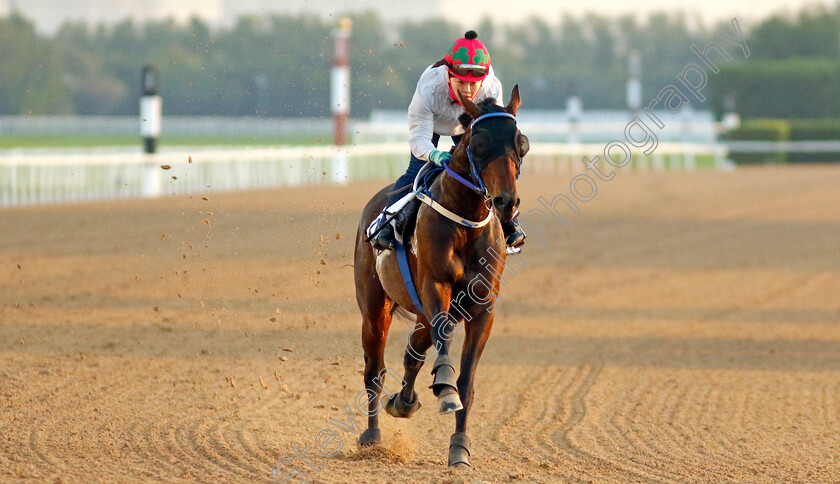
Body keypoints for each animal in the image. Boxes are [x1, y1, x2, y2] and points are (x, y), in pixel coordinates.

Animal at [352, 85, 528, 466]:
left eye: (521, 143)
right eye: (479, 143)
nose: (506, 202)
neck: (466, 221)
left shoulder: (483, 307)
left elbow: (466, 380)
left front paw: (459, 447)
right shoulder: (436, 287)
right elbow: (443, 338)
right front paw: (444, 390)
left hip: (418, 313)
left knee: (413, 352)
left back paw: (403, 402)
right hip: (374, 307)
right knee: (374, 370)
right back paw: (372, 435)